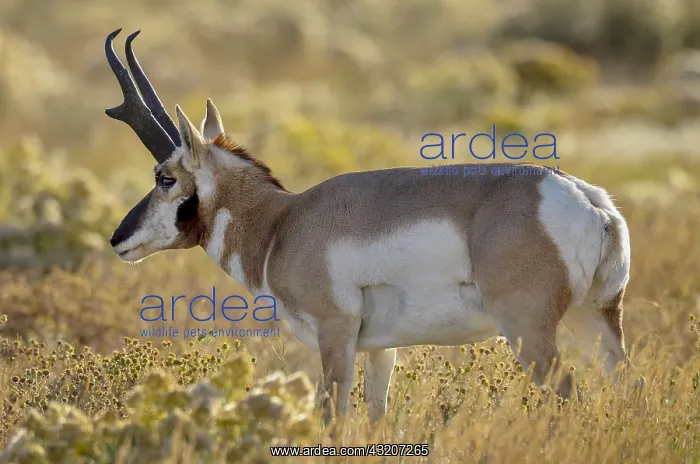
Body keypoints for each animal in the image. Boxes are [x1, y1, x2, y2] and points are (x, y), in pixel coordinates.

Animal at [105, 29, 632, 425]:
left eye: (165, 177)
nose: (117, 240)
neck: (281, 222)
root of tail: (582, 196)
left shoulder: (335, 334)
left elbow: (332, 417)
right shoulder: (382, 351)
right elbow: (376, 416)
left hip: (528, 331)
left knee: (568, 395)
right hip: (595, 320)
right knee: (631, 383)